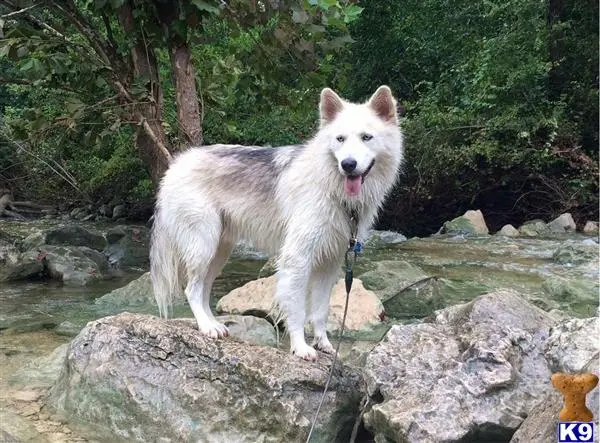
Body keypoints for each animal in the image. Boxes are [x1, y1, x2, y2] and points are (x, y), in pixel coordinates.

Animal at [149, 86, 404, 360]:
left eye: (367, 137)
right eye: (340, 139)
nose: (348, 165)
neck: (331, 188)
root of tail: (175, 165)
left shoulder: (330, 264)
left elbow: (320, 311)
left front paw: (324, 344)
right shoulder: (298, 259)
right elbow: (298, 311)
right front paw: (301, 348)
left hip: (218, 253)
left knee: (204, 290)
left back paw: (214, 325)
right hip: (203, 247)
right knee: (192, 290)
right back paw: (207, 327)